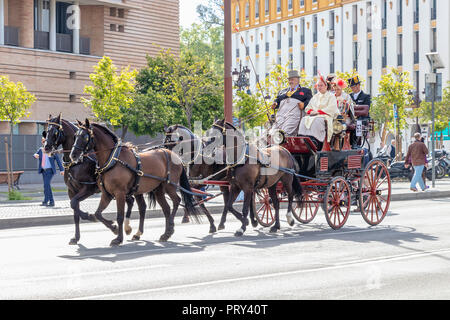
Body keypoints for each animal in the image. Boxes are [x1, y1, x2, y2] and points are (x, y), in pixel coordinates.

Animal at [43, 115, 135, 245]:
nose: (46, 147)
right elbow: (75, 212)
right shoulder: (72, 191)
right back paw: (127, 228)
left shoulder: (88, 189)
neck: (77, 163)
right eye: (47, 131)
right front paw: (76, 237)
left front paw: (91, 217)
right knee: (131, 201)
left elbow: (74, 204)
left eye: (55, 131)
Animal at [70, 119, 200, 246]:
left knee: (176, 201)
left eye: (85, 137)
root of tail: (173, 155)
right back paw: (165, 234)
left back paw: (170, 228)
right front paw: (113, 227)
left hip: (170, 185)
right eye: (75, 135)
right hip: (158, 189)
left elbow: (120, 216)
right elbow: (98, 214)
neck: (113, 160)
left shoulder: (120, 193)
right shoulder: (107, 194)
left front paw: (118, 238)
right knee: (166, 208)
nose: (73, 155)